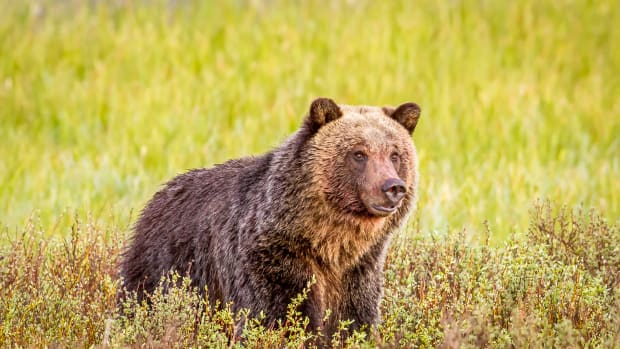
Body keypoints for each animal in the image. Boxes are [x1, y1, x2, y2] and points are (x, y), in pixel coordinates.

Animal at [120, 98, 422, 340]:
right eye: (359, 153)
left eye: (395, 154)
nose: (393, 187)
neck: (327, 242)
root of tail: (155, 199)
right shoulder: (271, 259)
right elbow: (278, 317)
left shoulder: (358, 272)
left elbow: (354, 322)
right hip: (167, 267)